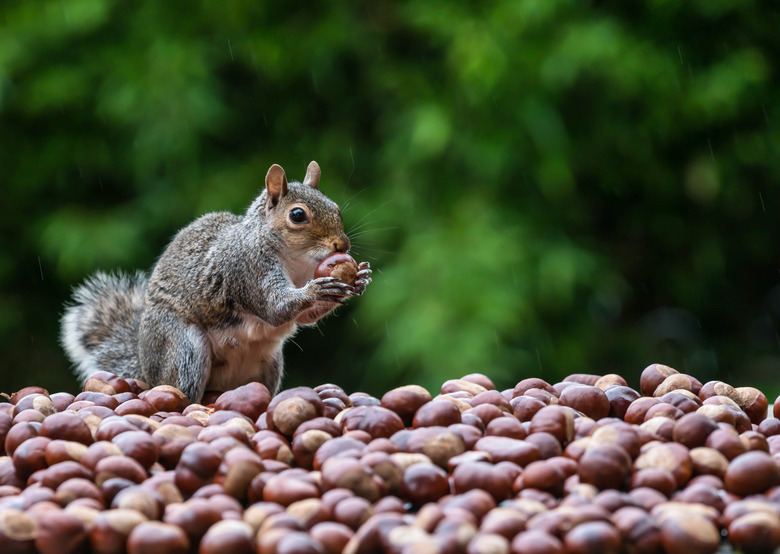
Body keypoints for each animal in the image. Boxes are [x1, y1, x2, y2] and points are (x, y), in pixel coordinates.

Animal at [59, 161, 370, 402]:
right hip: (184, 350)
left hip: (269, 364)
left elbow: (304, 318)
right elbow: (275, 308)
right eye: (297, 215)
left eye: (336, 208)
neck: (295, 259)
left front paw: (358, 279)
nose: (342, 245)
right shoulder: (246, 268)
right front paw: (318, 289)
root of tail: (146, 370)